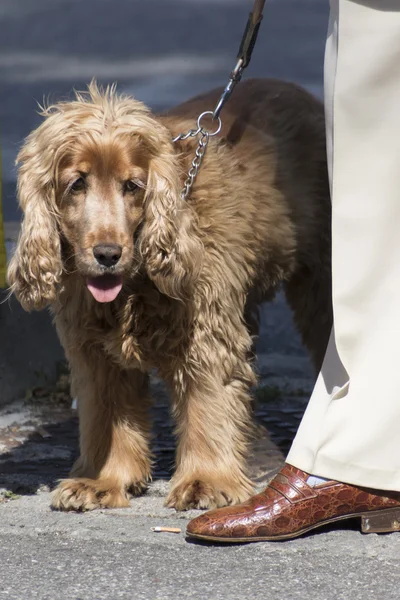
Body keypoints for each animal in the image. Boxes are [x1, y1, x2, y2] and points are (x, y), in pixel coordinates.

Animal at [8, 78, 332, 510]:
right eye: (77, 184)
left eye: (132, 186)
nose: (107, 254)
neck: (135, 281)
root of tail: (299, 91)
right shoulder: (92, 348)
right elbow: (105, 414)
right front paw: (101, 480)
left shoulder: (204, 332)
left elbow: (207, 403)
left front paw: (205, 482)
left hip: (322, 278)